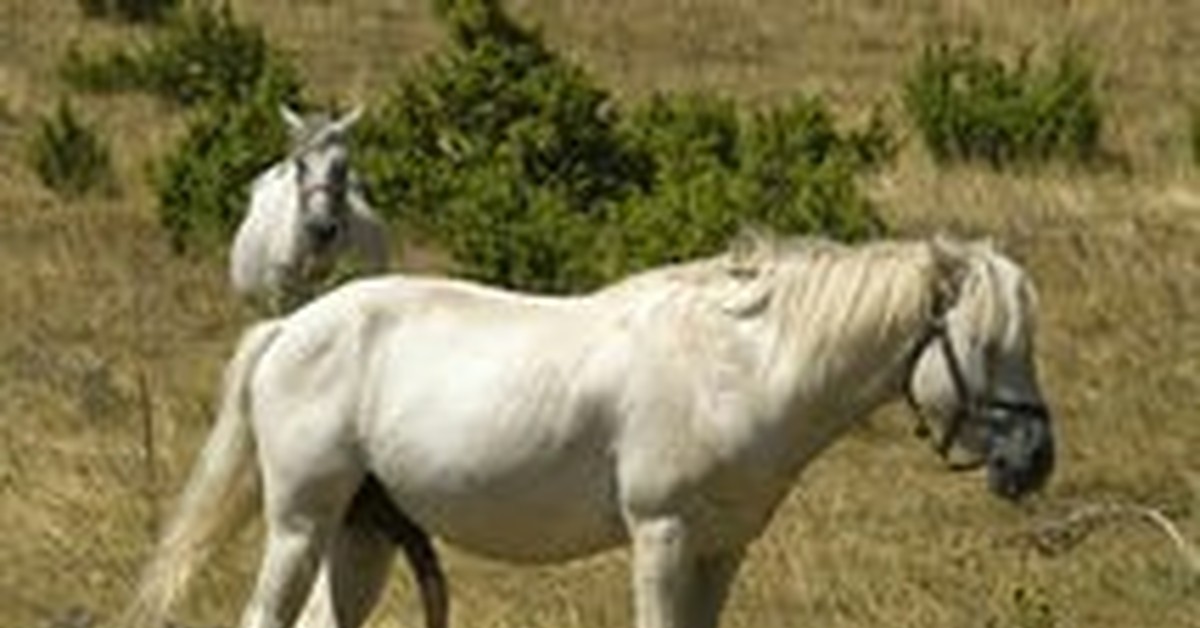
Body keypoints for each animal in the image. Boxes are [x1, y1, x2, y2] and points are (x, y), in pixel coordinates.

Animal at [126, 234, 1056, 628]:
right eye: (985, 343)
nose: (1036, 458)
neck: (735, 369)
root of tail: (293, 325)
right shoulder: (662, 535)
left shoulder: (721, 549)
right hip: (301, 520)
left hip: (363, 532)